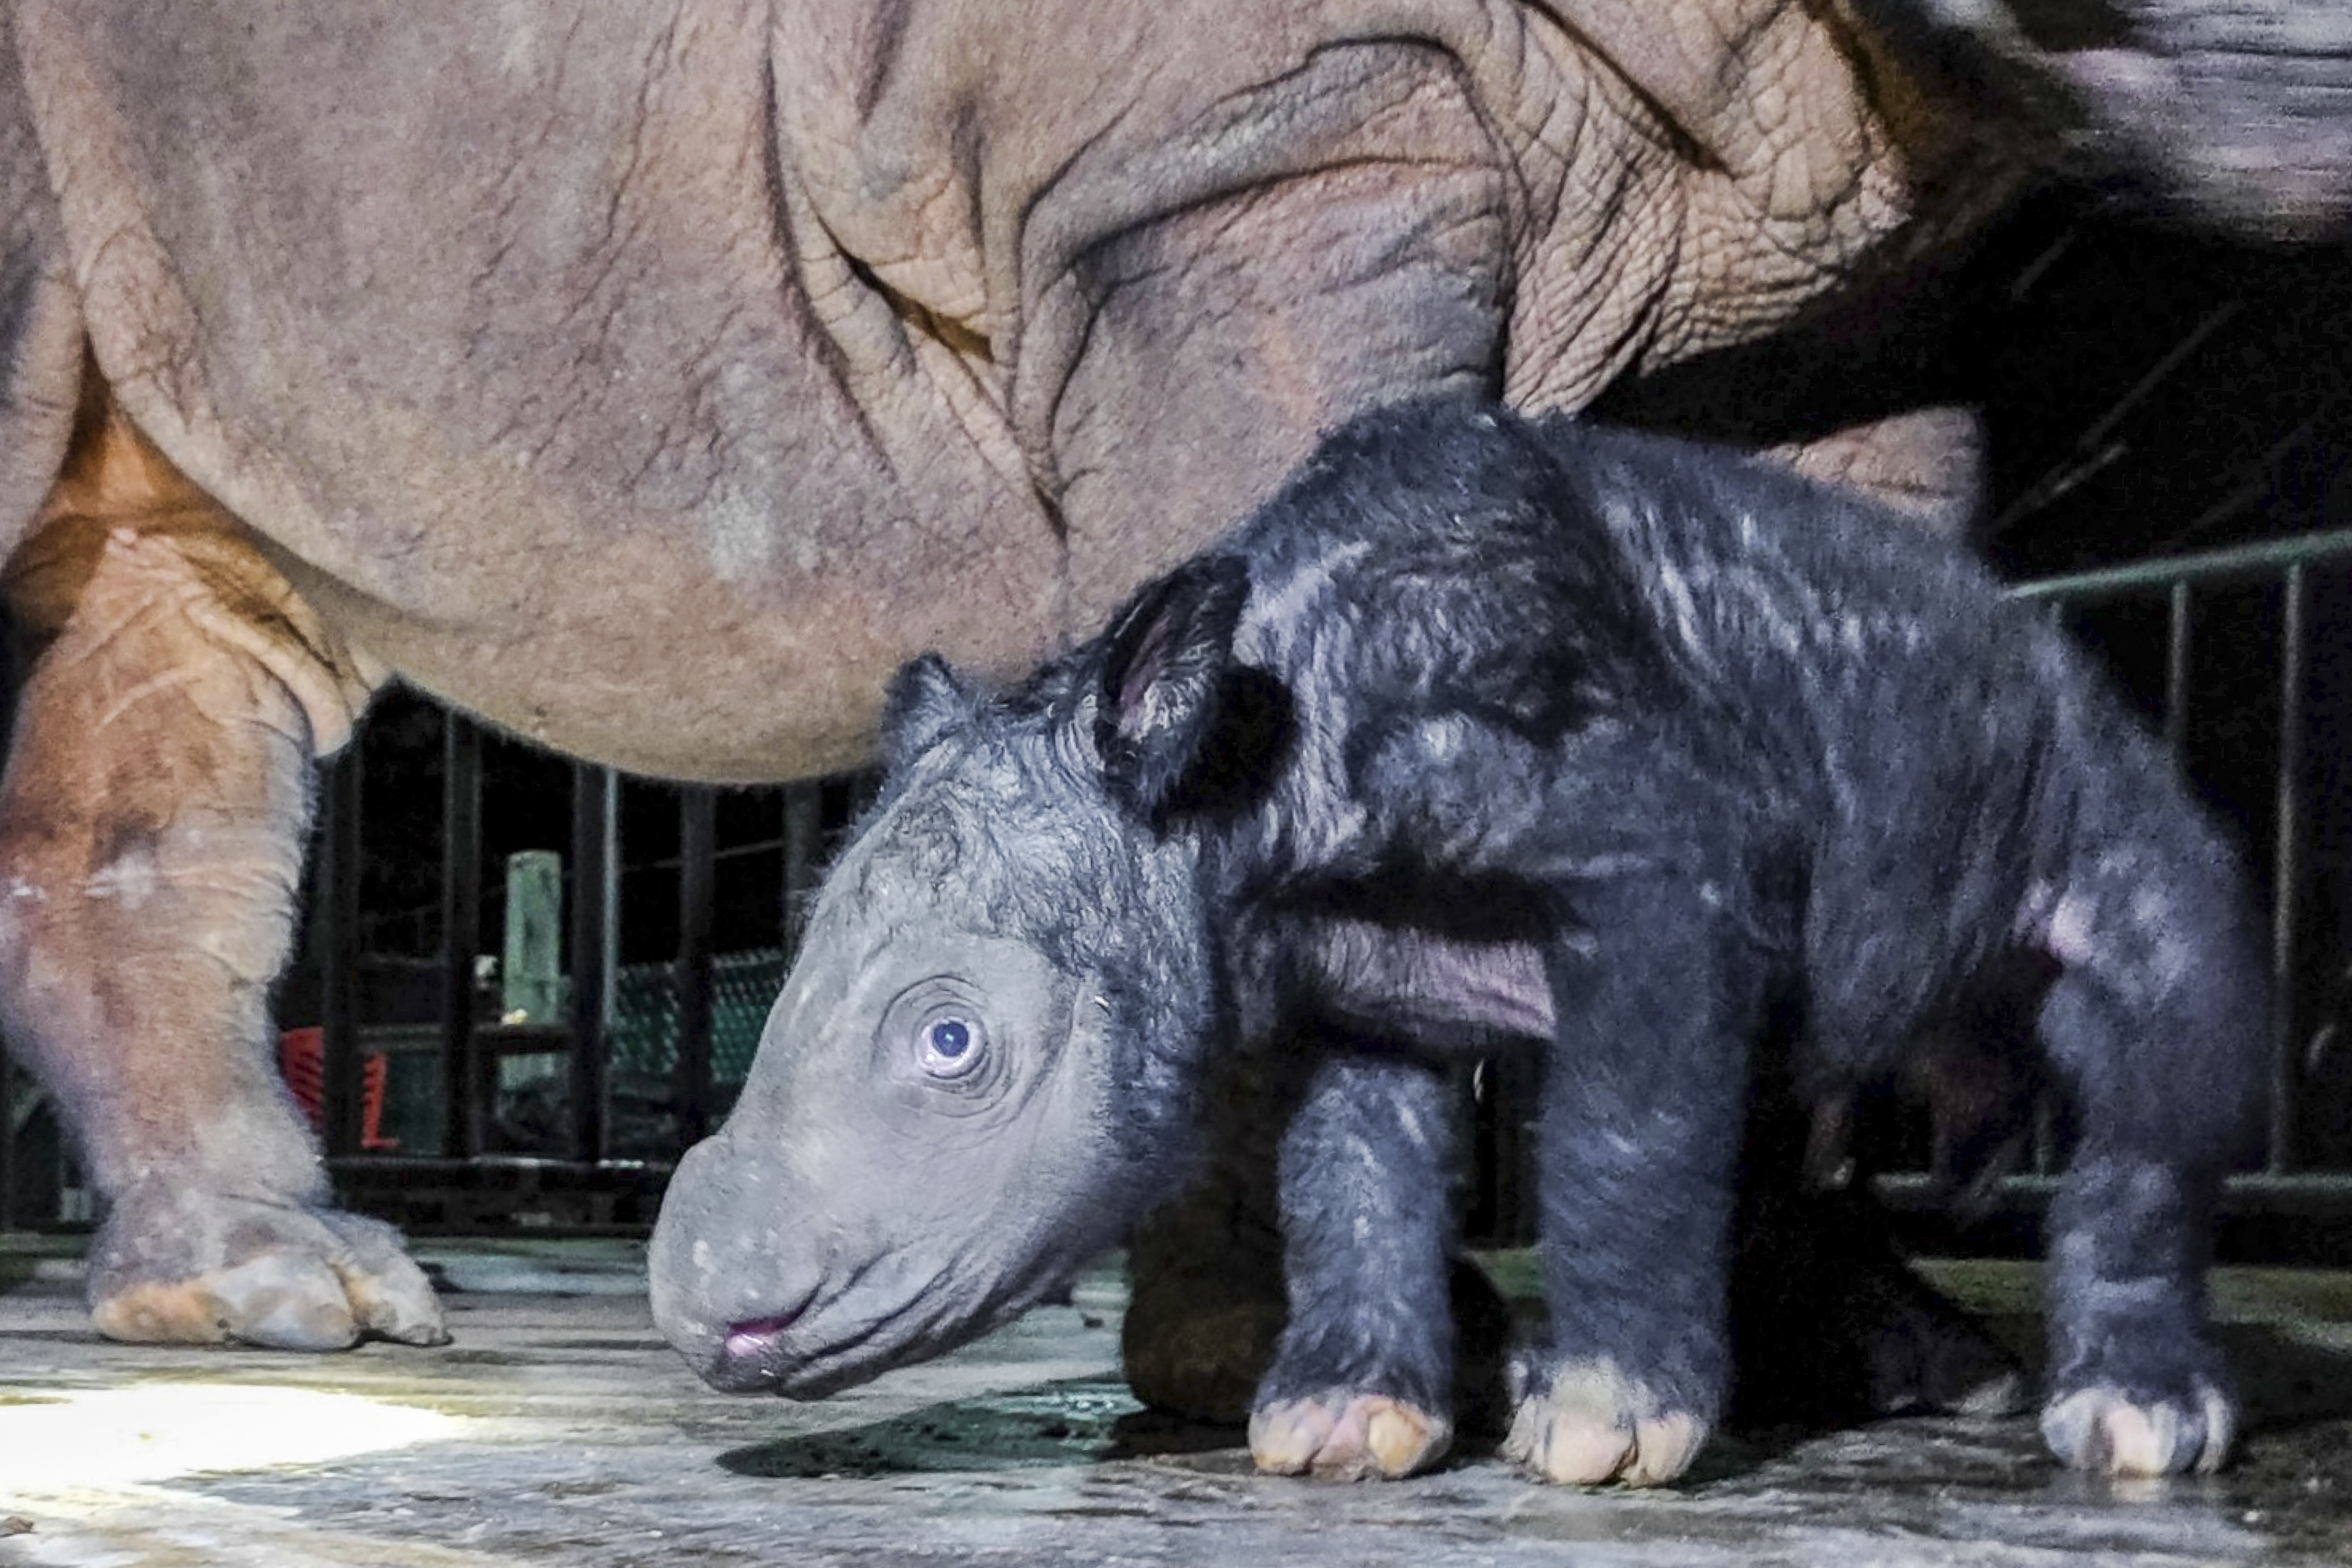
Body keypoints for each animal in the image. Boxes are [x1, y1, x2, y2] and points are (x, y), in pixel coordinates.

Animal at [0, 0, 2343, 1363]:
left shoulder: (1862, 268)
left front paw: (1854, 1348)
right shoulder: (1230, 151)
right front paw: (1294, 1356)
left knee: (180, 611)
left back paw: (272, 1297)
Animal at [644, 399, 2258, 1495]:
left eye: (951, 1041)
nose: (699, 1300)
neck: (1243, 757)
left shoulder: (1653, 859)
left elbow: (1623, 1123)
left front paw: (1602, 1430)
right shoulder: (1338, 968)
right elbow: (1351, 1164)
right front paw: (1338, 1427)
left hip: (2096, 754)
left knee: (2154, 1007)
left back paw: (2131, 1427)